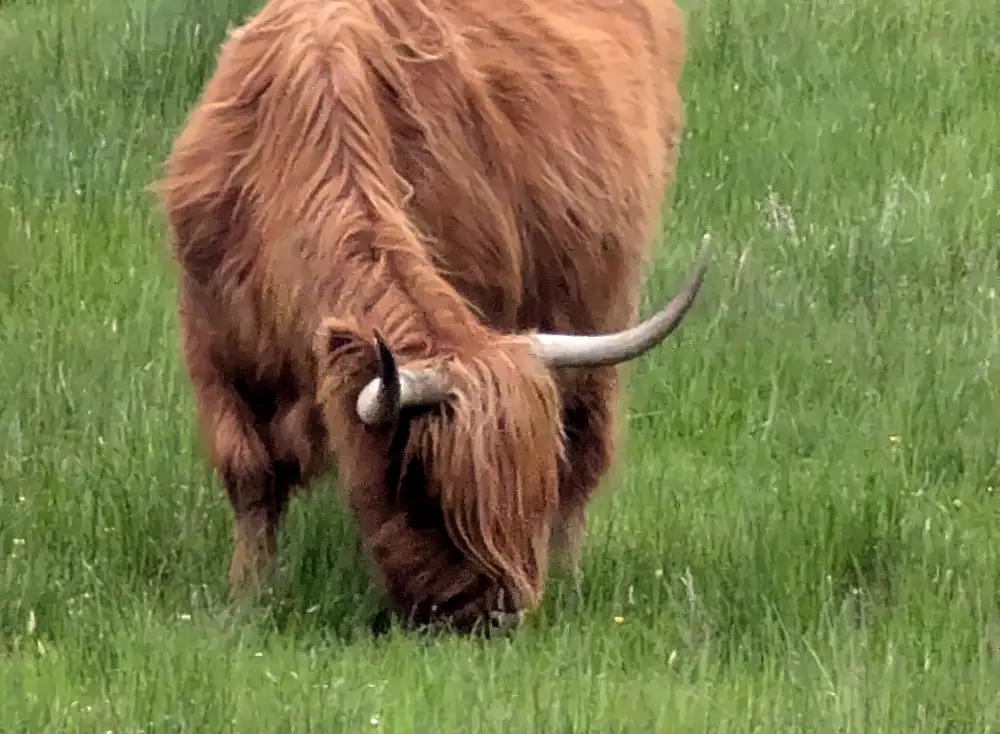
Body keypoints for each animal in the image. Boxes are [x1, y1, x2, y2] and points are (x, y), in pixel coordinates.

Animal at [153, 0, 705, 634]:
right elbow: (250, 475)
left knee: (586, 449)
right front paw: (247, 597)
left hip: (600, 311)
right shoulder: (213, 345)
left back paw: (568, 576)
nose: (497, 615)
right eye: (424, 493)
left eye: (526, 494)